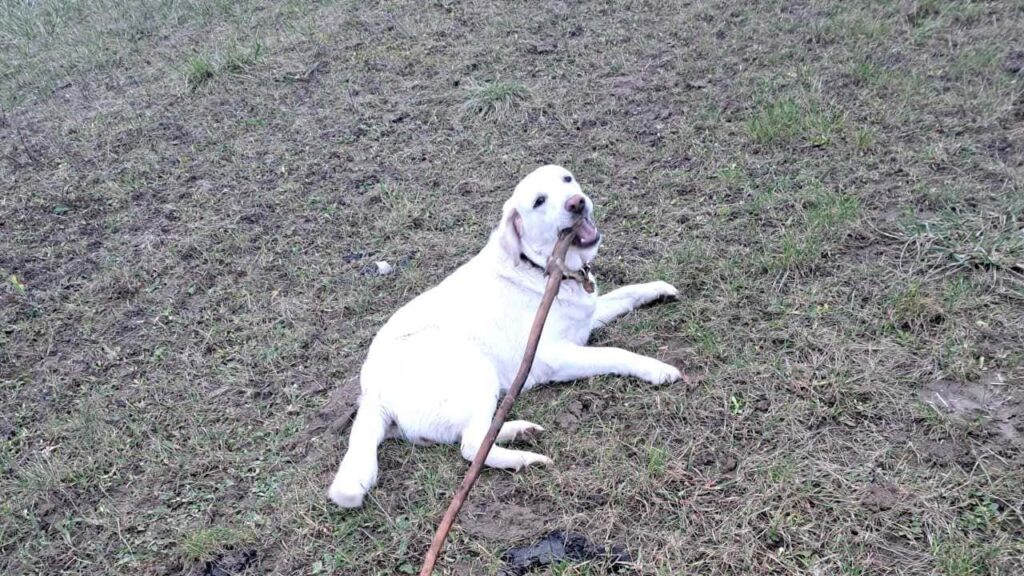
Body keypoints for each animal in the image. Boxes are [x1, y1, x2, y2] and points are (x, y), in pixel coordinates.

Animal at [327, 163, 679, 504]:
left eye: (567, 179)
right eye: (539, 201)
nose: (576, 203)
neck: (543, 268)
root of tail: (373, 394)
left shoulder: (587, 317)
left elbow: (628, 293)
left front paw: (659, 289)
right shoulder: (556, 356)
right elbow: (617, 353)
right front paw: (657, 369)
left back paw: (518, 430)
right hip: (477, 367)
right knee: (471, 446)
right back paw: (524, 458)